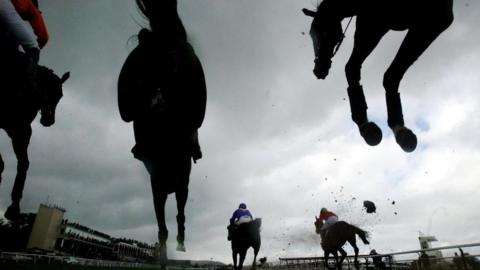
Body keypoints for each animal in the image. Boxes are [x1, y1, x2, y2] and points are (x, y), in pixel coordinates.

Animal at [0, 66, 69, 221]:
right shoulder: (20, 129)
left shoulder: (19, 131)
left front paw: (13, 206)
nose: (49, 120)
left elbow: (23, 163)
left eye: (60, 95)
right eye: (47, 89)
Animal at [304, 0, 454, 152]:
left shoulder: (433, 21)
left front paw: (398, 129)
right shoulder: (373, 24)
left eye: (323, 32)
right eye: (311, 34)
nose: (318, 70)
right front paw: (367, 126)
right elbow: (353, 68)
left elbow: (391, 74)